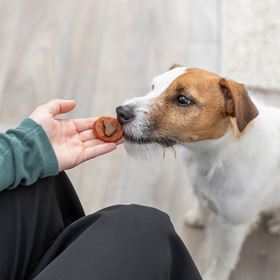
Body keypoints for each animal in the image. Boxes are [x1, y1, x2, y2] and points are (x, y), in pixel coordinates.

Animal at [116, 66, 280, 280]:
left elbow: (223, 258)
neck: (214, 155)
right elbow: (201, 200)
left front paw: (216, 275)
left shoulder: (234, 227)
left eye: (183, 100)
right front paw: (198, 216)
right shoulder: (199, 186)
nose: (120, 112)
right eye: (153, 86)